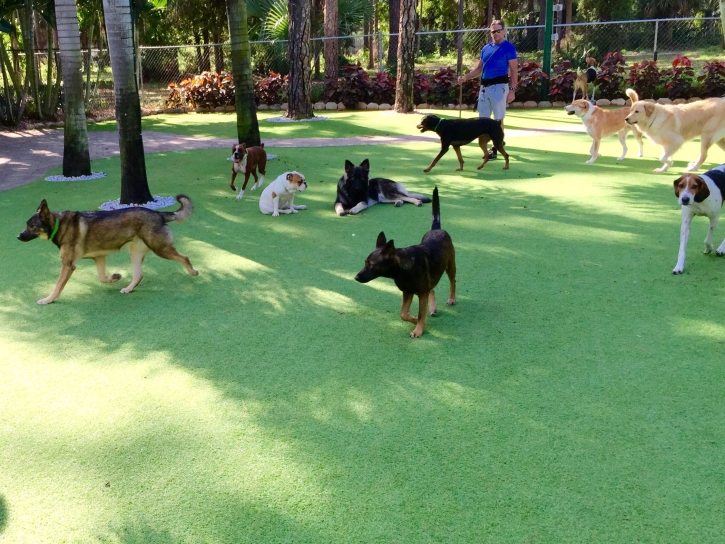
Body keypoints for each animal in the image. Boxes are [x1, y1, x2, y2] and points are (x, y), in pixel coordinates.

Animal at [354, 189, 456, 338]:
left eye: (371, 265)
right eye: (365, 263)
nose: (356, 277)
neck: (403, 268)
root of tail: (436, 229)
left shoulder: (421, 294)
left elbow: (420, 314)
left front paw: (418, 330)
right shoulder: (408, 293)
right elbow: (403, 314)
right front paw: (414, 320)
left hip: (450, 266)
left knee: (453, 282)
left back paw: (452, 299)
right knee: (432, 289)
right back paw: (433, 308)